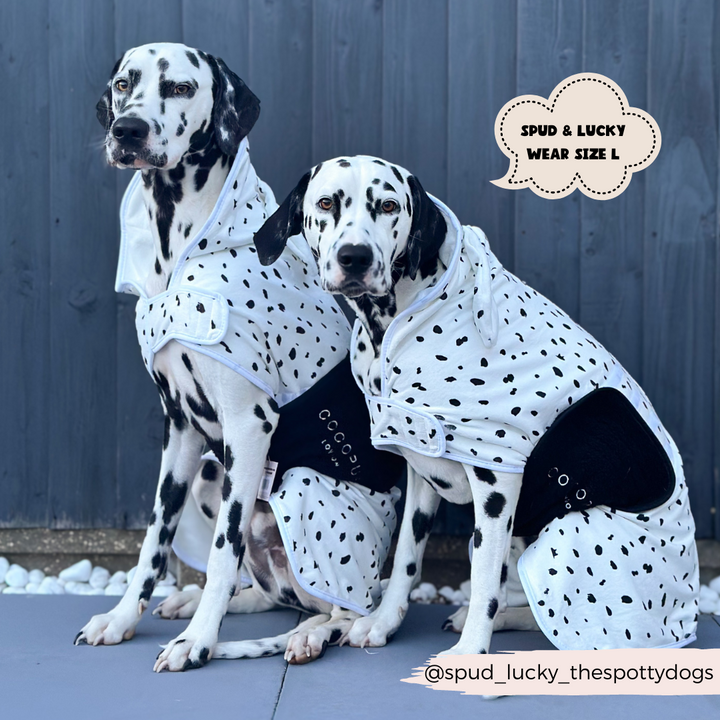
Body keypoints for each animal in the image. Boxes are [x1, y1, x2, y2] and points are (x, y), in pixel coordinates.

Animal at [79, 47, 408, 672]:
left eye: (181, 87)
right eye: (125, 83)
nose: (126, 130)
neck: (181, 251)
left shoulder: (249, 427)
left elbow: (222, 550)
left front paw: (199, 644)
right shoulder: (181, 431)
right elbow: (154, 540)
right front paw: (122, 618)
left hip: (303, 485)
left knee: (344, 608)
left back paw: (309, 634)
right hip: (211, 471)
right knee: (266, 591)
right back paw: (200, 602)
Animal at [253, 156, 696, 660]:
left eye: (387, 205)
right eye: (327, 203)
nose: (355, 257)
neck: (397, 322)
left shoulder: (497, 482)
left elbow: (484, 576)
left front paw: (469, 655)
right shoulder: (422, 471)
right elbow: (406, 558)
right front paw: (383, 624)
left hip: (573, 528)